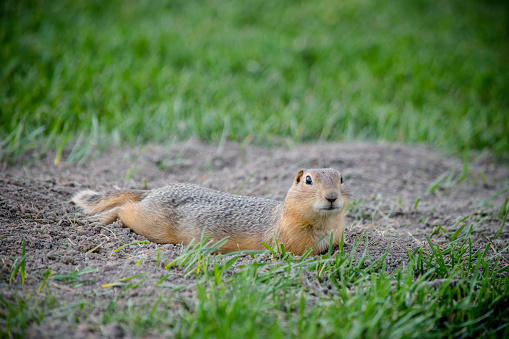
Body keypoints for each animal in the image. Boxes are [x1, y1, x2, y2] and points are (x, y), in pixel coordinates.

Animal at [71, 169, 348, 256]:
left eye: (342, 178)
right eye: (308, 180)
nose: (332, 196)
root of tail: (155, 191)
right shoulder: (291, 242)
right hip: (150, 223)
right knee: (123, 208)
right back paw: (101, 219)